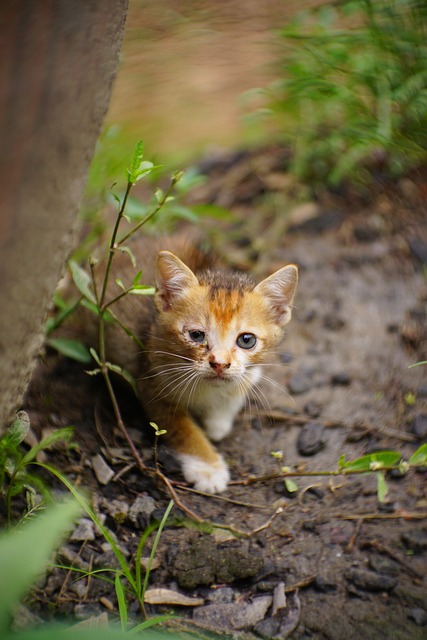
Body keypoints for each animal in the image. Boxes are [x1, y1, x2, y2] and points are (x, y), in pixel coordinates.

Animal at [89, 240, 300, 496]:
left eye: (246, 340)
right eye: (197, 335)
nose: (219, 364)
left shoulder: (249, 371)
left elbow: (240, 385)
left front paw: (218, 422)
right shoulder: (152, 382)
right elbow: (183, 429)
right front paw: (208, 467)